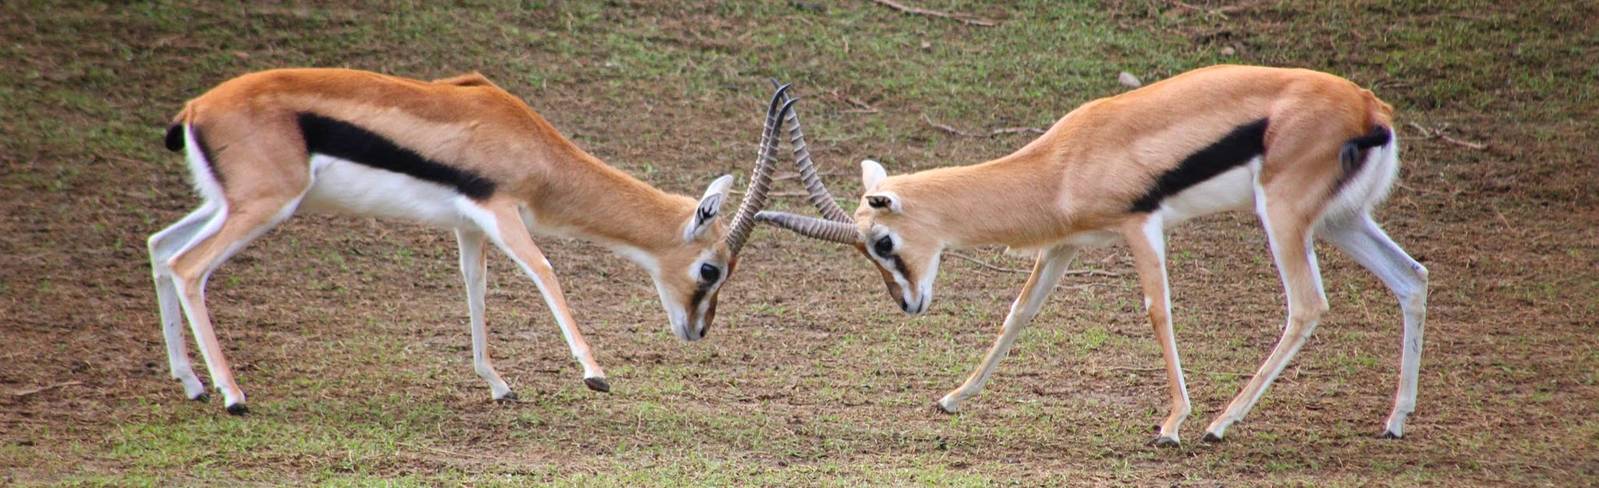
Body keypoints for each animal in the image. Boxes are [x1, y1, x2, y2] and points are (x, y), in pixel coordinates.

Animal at [148, 68, 798, 414]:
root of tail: (195, 109)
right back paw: (232, 395)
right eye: (711, 269)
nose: (698, 331)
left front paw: (499, 386)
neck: (531, 145)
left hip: (225, 204)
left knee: (160, 247)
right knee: (189, 266)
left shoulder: (469, 225)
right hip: (263, 206)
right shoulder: (501, 211)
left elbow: (475, 289)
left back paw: (192, 385)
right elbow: (544, 270)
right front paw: (595, 374)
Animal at [758, 65, 1429, 445]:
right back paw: (1395, 422)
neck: (1063, 162)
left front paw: (1171, 425)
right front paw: (953, 397)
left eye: (883, 242)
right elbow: (1019, 313)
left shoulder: (1140, 226)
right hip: (1341, 220)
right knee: (1413, 278)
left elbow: (1158, 311)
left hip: (1284, 216)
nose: (907, 304)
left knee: (1308, 305)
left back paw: (1218, 425)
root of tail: (1371, 109)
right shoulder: (1063, 245)